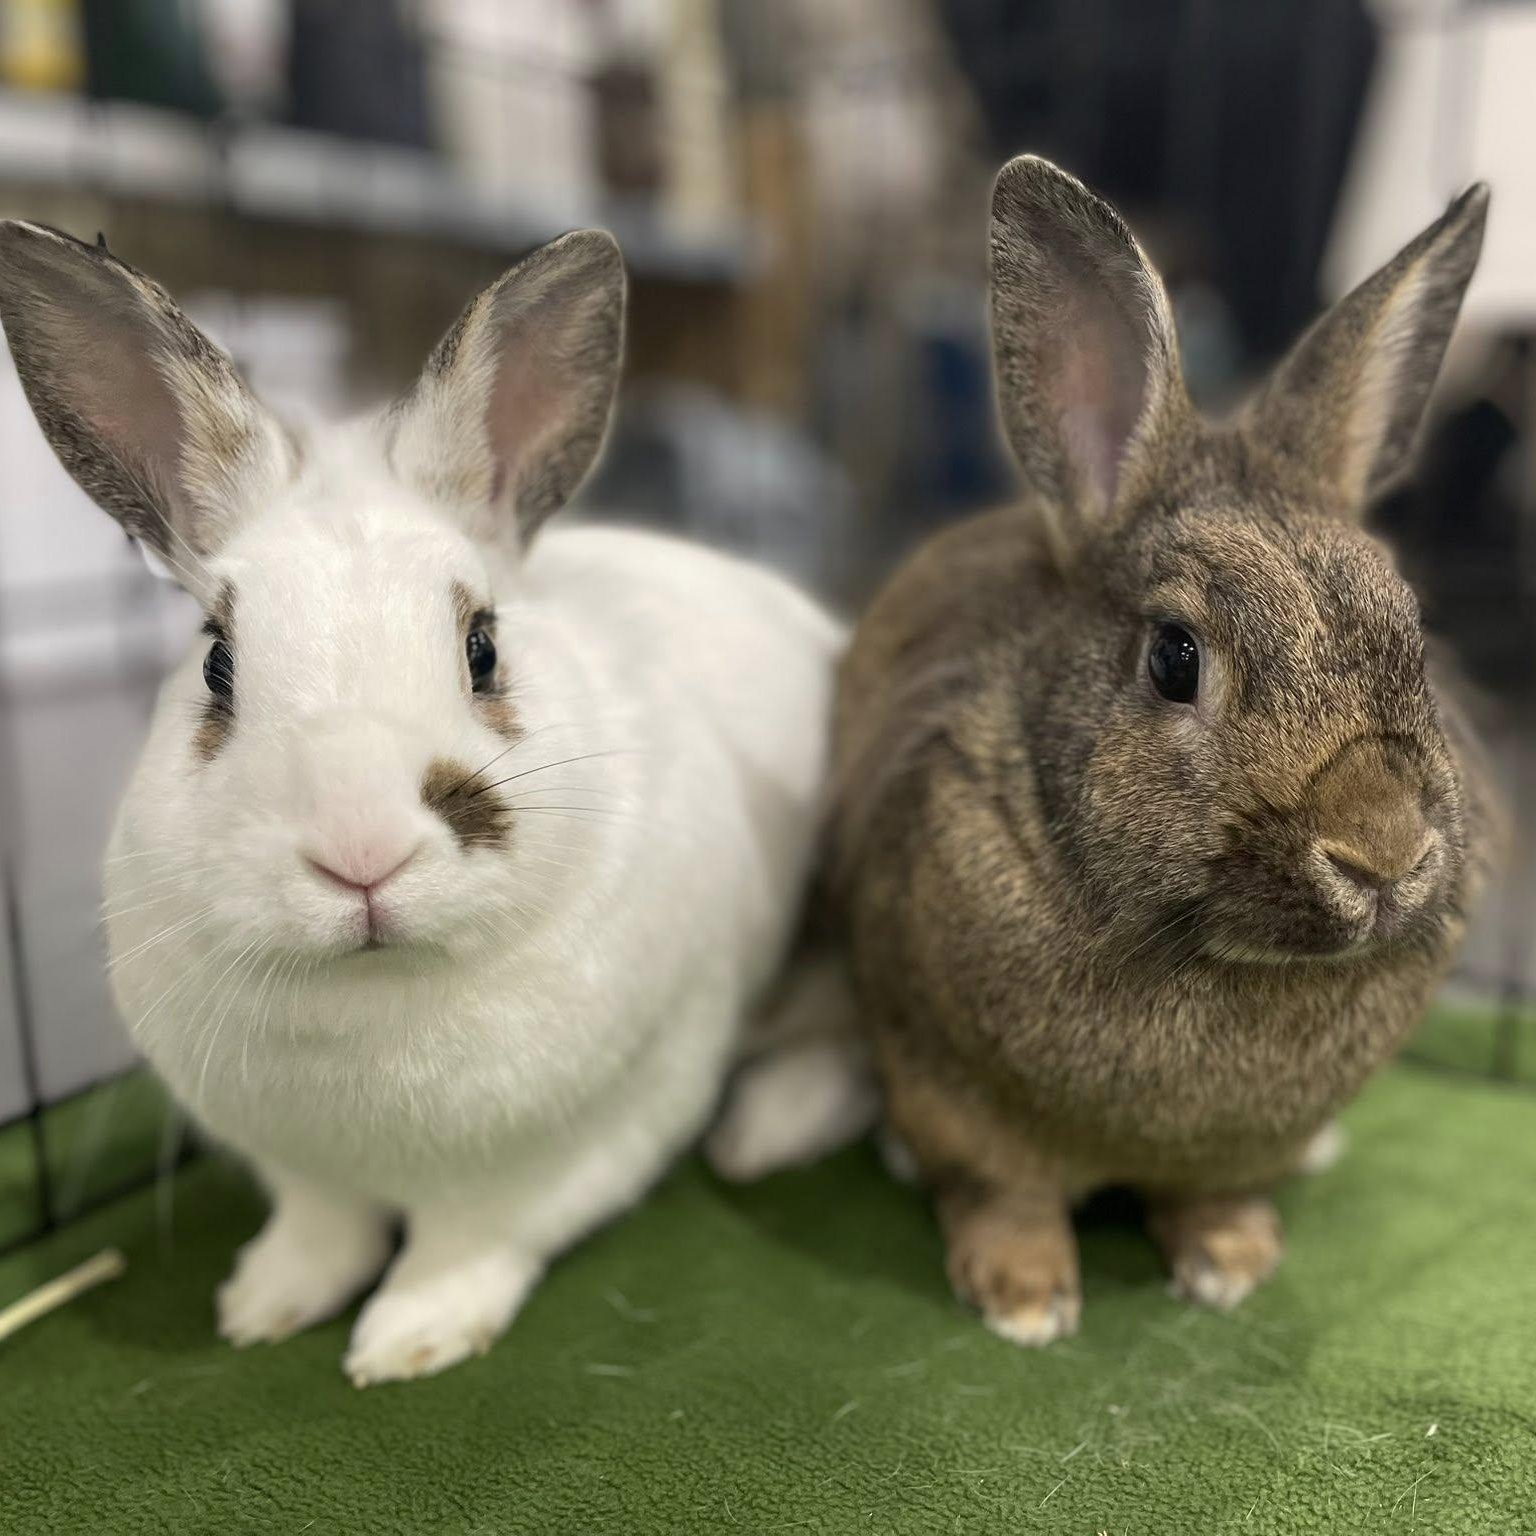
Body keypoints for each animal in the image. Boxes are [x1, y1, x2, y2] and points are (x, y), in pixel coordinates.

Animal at [0, 221, 843, 1384]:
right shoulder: (299, 1169)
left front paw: (408, 1342)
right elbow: (319, 1232)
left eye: (482, 647)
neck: (377, 1001)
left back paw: (766, 1133)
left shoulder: (569, 1150)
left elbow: (466, 1244)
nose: (361, 854)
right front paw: (260, 1307)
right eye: (217, 664)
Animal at [807, 156, 1498, 1346]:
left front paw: (1231, 1263)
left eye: (1410, 626)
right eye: (1176, 658)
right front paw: (1025, 1298)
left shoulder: (1227, 1150)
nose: (1384, 853)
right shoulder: (953, 1093)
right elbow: (1004, 1193)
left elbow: (1211, 1195)